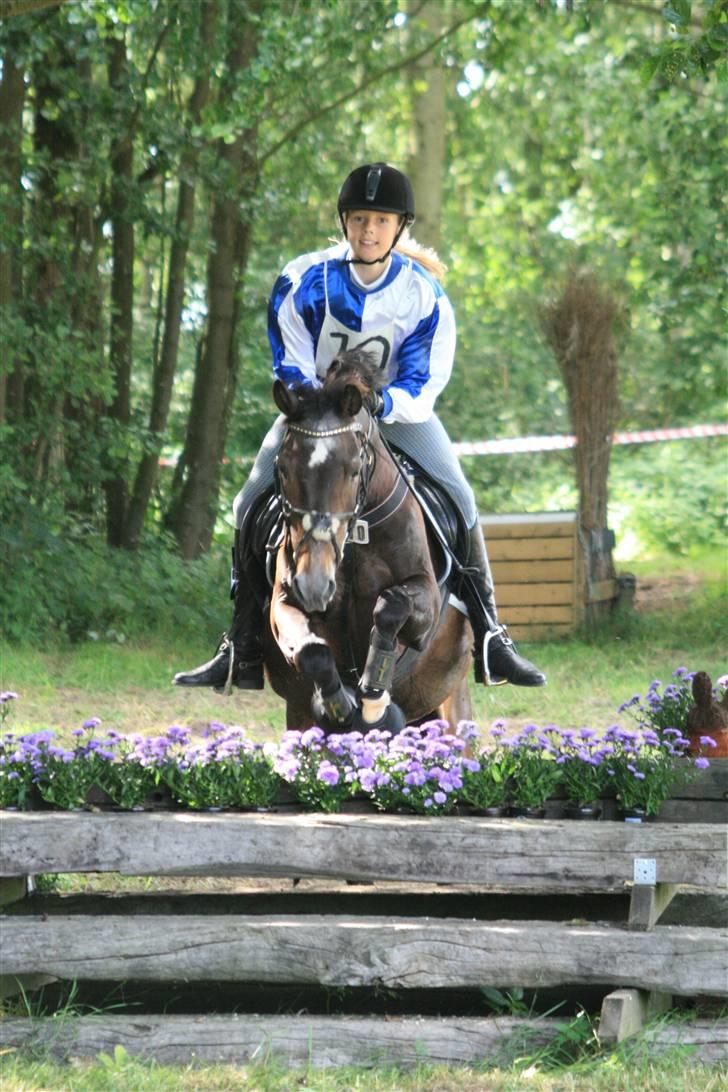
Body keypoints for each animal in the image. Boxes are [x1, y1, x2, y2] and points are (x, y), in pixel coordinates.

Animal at [258, 349, 475, 733]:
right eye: (282, 468)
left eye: (354, 469)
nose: (314, 585)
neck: (357, 539)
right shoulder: (285, 605)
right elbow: (312, 651)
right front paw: (338, 704)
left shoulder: (424, 597)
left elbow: (390, 608)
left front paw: (374, 699)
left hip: (453, 706)